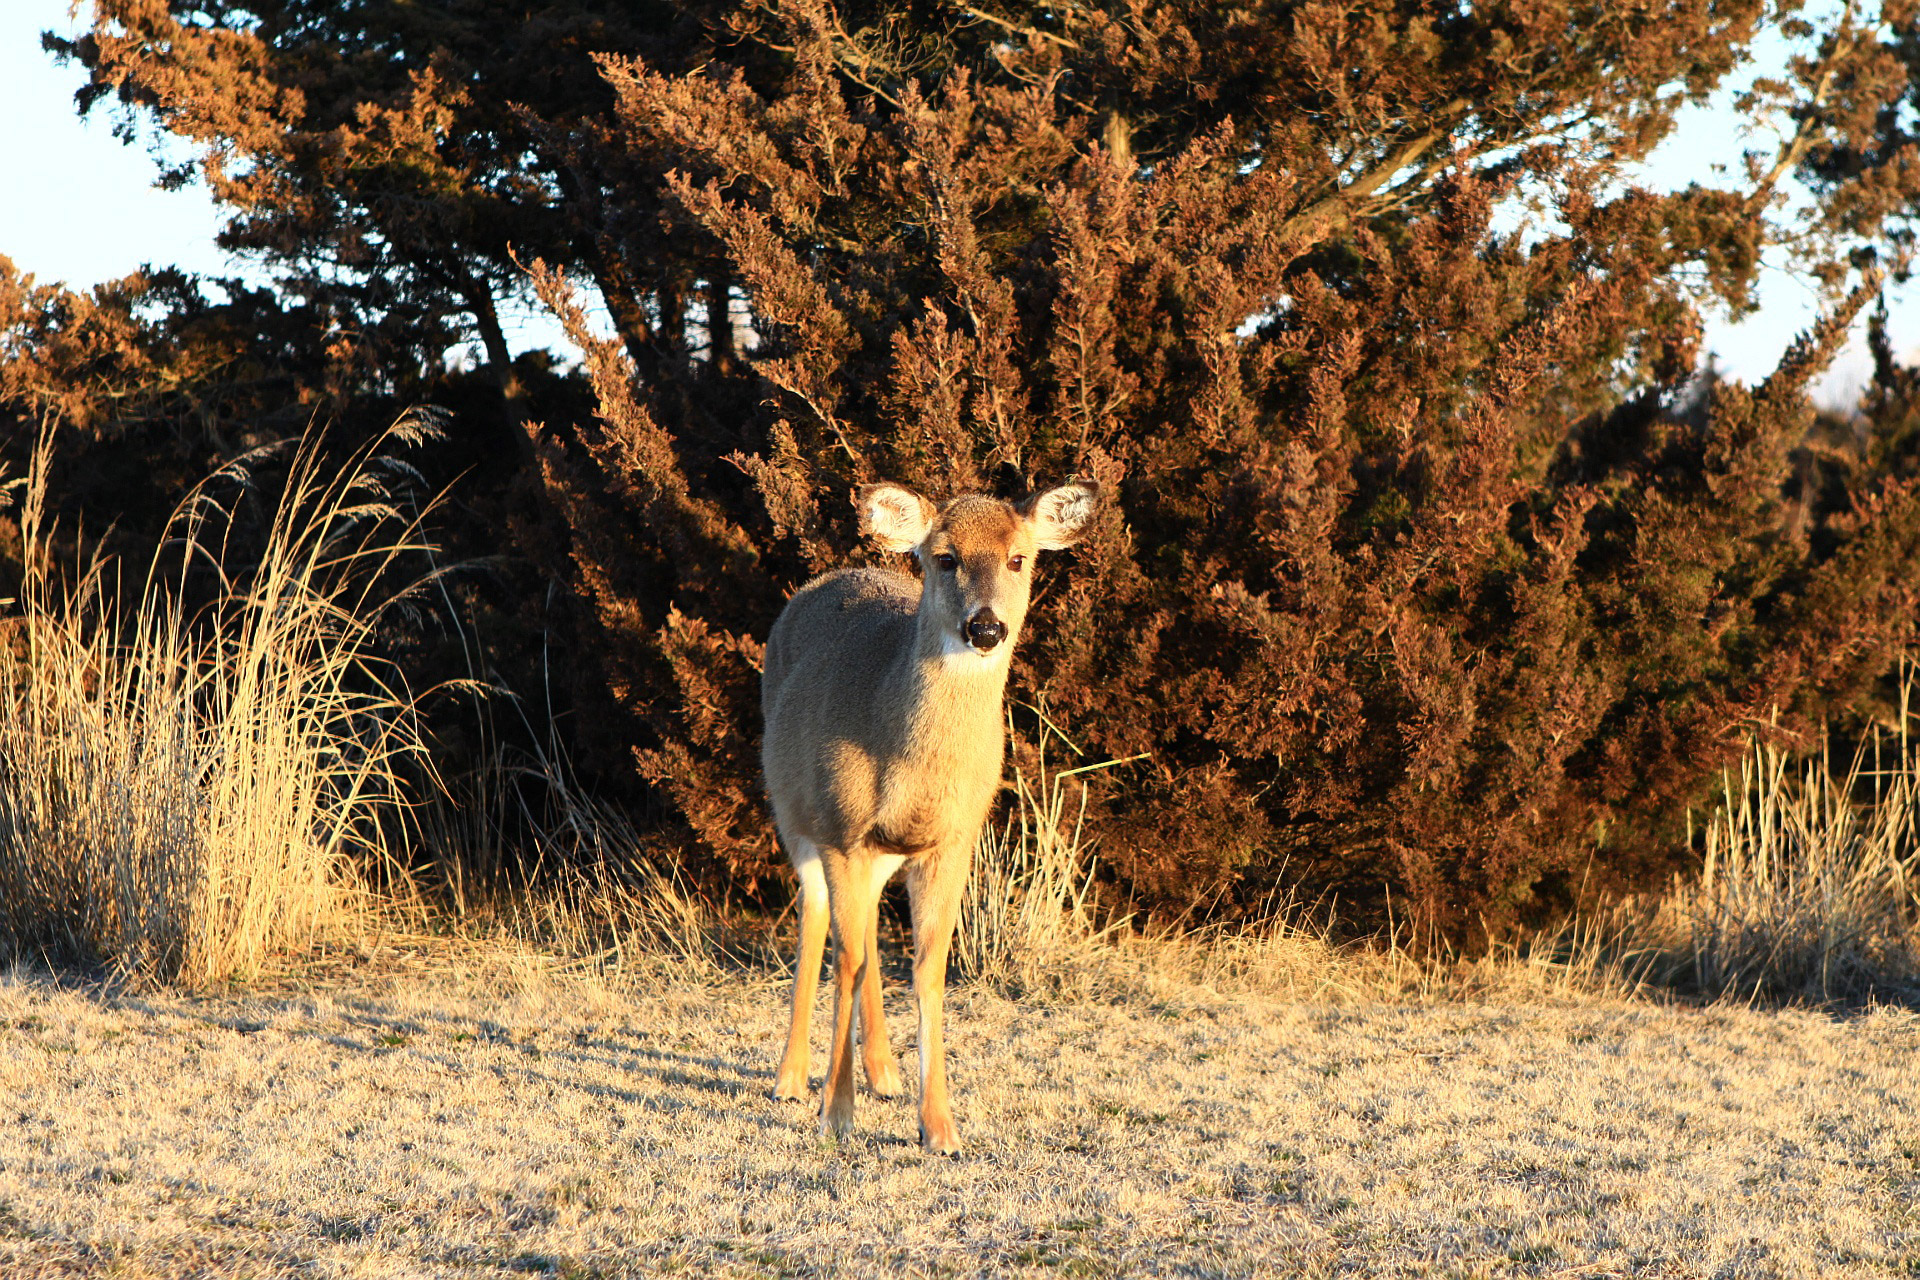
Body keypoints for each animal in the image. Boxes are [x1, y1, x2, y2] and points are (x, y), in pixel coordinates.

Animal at [760, 477, 1105, 1151]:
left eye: (1019, 558)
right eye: (944, 558)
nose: (986, 627)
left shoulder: (953, 841)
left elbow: (928, 969)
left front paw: (939, 1125)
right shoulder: (842, 832)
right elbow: (847, 960)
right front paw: (836, 1114)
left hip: (878, 852)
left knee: (865, 929)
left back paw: (884, 1073)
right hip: (797, 815)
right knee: (819, 924)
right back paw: (790, 1078)